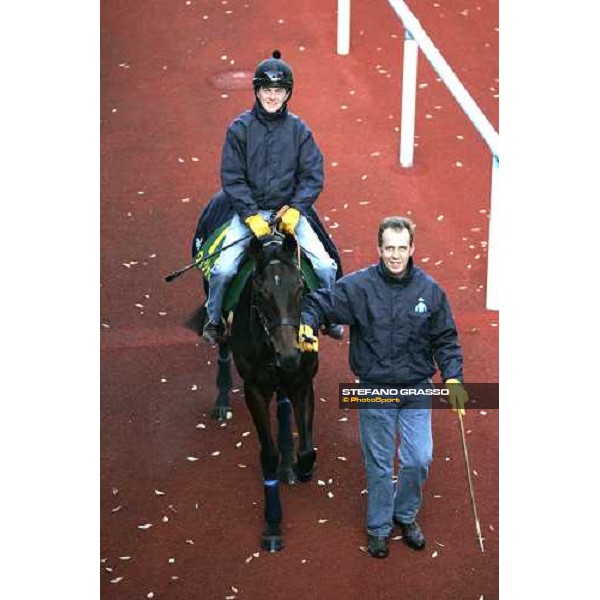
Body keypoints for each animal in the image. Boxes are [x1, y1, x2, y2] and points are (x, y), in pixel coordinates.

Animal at [211, 232, 318, 552]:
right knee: (221, 341)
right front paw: (272, 526)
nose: (289, 355)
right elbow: (267, 455)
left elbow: (307, 450)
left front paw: (299, 467)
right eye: (260, 293)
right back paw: (222, 400)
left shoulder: (302, 380)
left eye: (300, 287)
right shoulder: (255, 389)